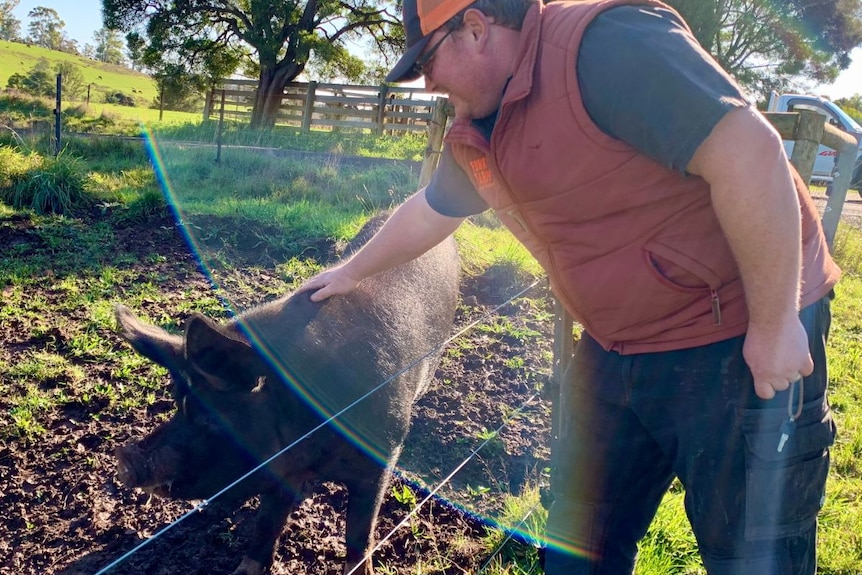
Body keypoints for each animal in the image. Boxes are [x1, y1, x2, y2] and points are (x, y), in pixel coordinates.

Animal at [117, 216, 462, 575]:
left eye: (209, 418)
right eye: (177, 404)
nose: (124, 460)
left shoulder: (382, 456)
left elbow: (359, 533)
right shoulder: (281, 469)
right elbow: (266, 523)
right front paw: (244, 570)